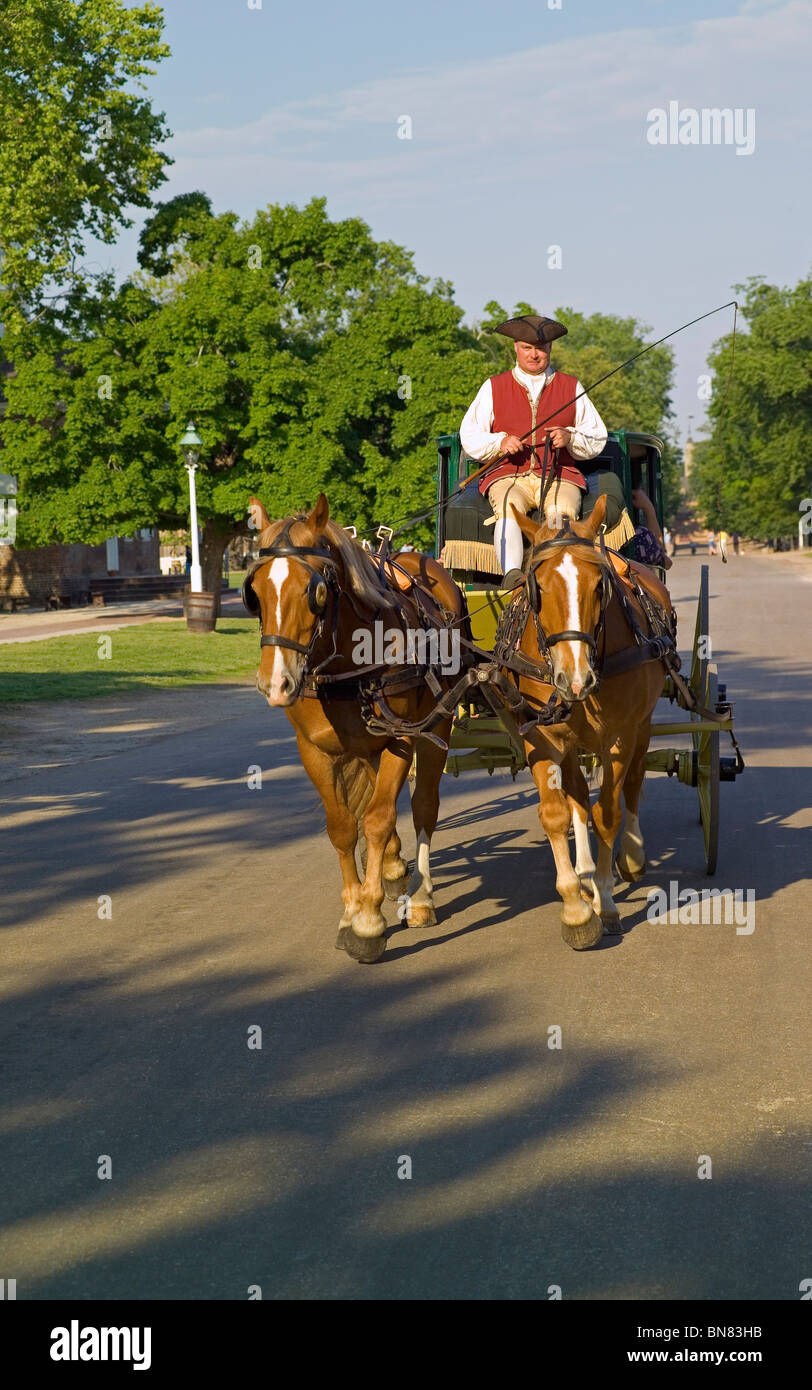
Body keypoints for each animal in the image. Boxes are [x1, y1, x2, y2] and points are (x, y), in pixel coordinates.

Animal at [246, 494, 469, 961]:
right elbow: (344, 825)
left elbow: (379, 819)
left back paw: (420, 896)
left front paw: (368, 921)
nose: (275, 683)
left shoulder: (401, 738)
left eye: (314, 591)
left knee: (423, 805)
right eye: (254, 593)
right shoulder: (315, 749)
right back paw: (391, 867)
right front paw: (352, 909)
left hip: (437, 724)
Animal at [506, 494, 672, 950]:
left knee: (633, 781)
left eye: (599, 585)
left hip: (642, 724)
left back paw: (629, 853)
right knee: (578, 796)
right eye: (537, 588)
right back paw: (582, 875)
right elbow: (556, 813)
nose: (575, 678)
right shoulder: (541, 736)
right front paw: (576, 907)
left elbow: (608, 813)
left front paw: (607, 900)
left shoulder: (620, 736)